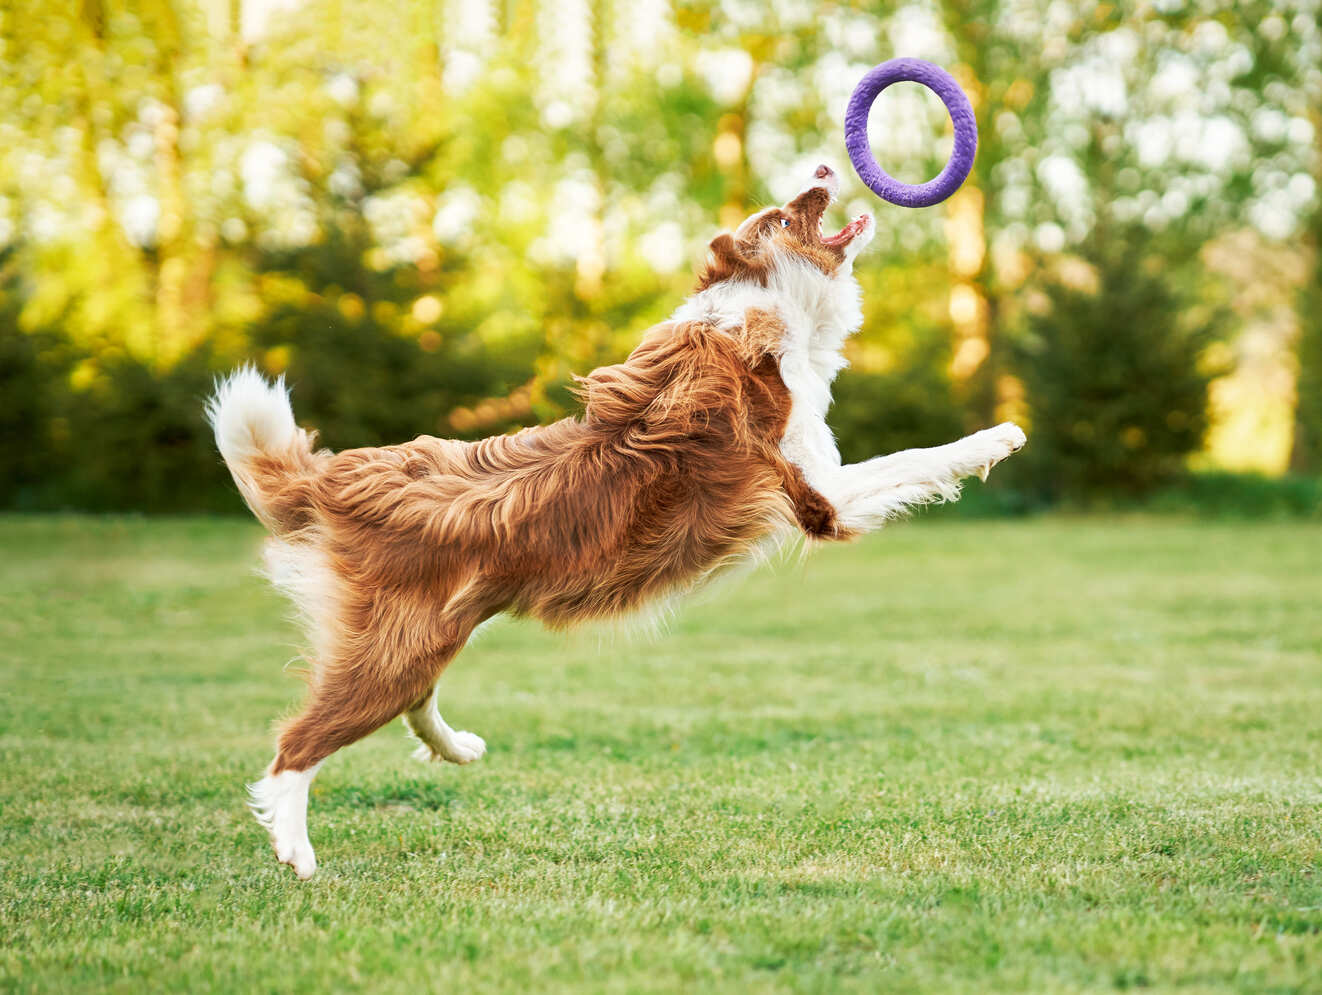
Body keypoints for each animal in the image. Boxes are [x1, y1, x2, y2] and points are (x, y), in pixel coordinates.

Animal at [206, 163, 1025, 877]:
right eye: (784, 215)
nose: (826, 167)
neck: (764, 313)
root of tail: (335, 477)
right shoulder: (821, 493)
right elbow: (916, 456)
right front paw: (998, 438)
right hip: (392, 646)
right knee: (295, 744)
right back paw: (296, 851)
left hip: (427, 633)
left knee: (409, 700)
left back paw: (458, 749)